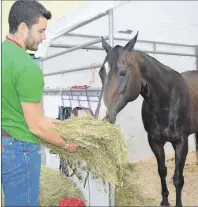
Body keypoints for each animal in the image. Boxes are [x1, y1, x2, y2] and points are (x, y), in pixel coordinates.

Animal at [94, 32, 198, 207]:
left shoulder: (181, 143)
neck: (166, 101)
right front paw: (164, 200)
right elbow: (162, 171)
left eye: (123, 72)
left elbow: (178, 179)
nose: (102, 116)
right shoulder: (155, 141)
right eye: (101, 73)